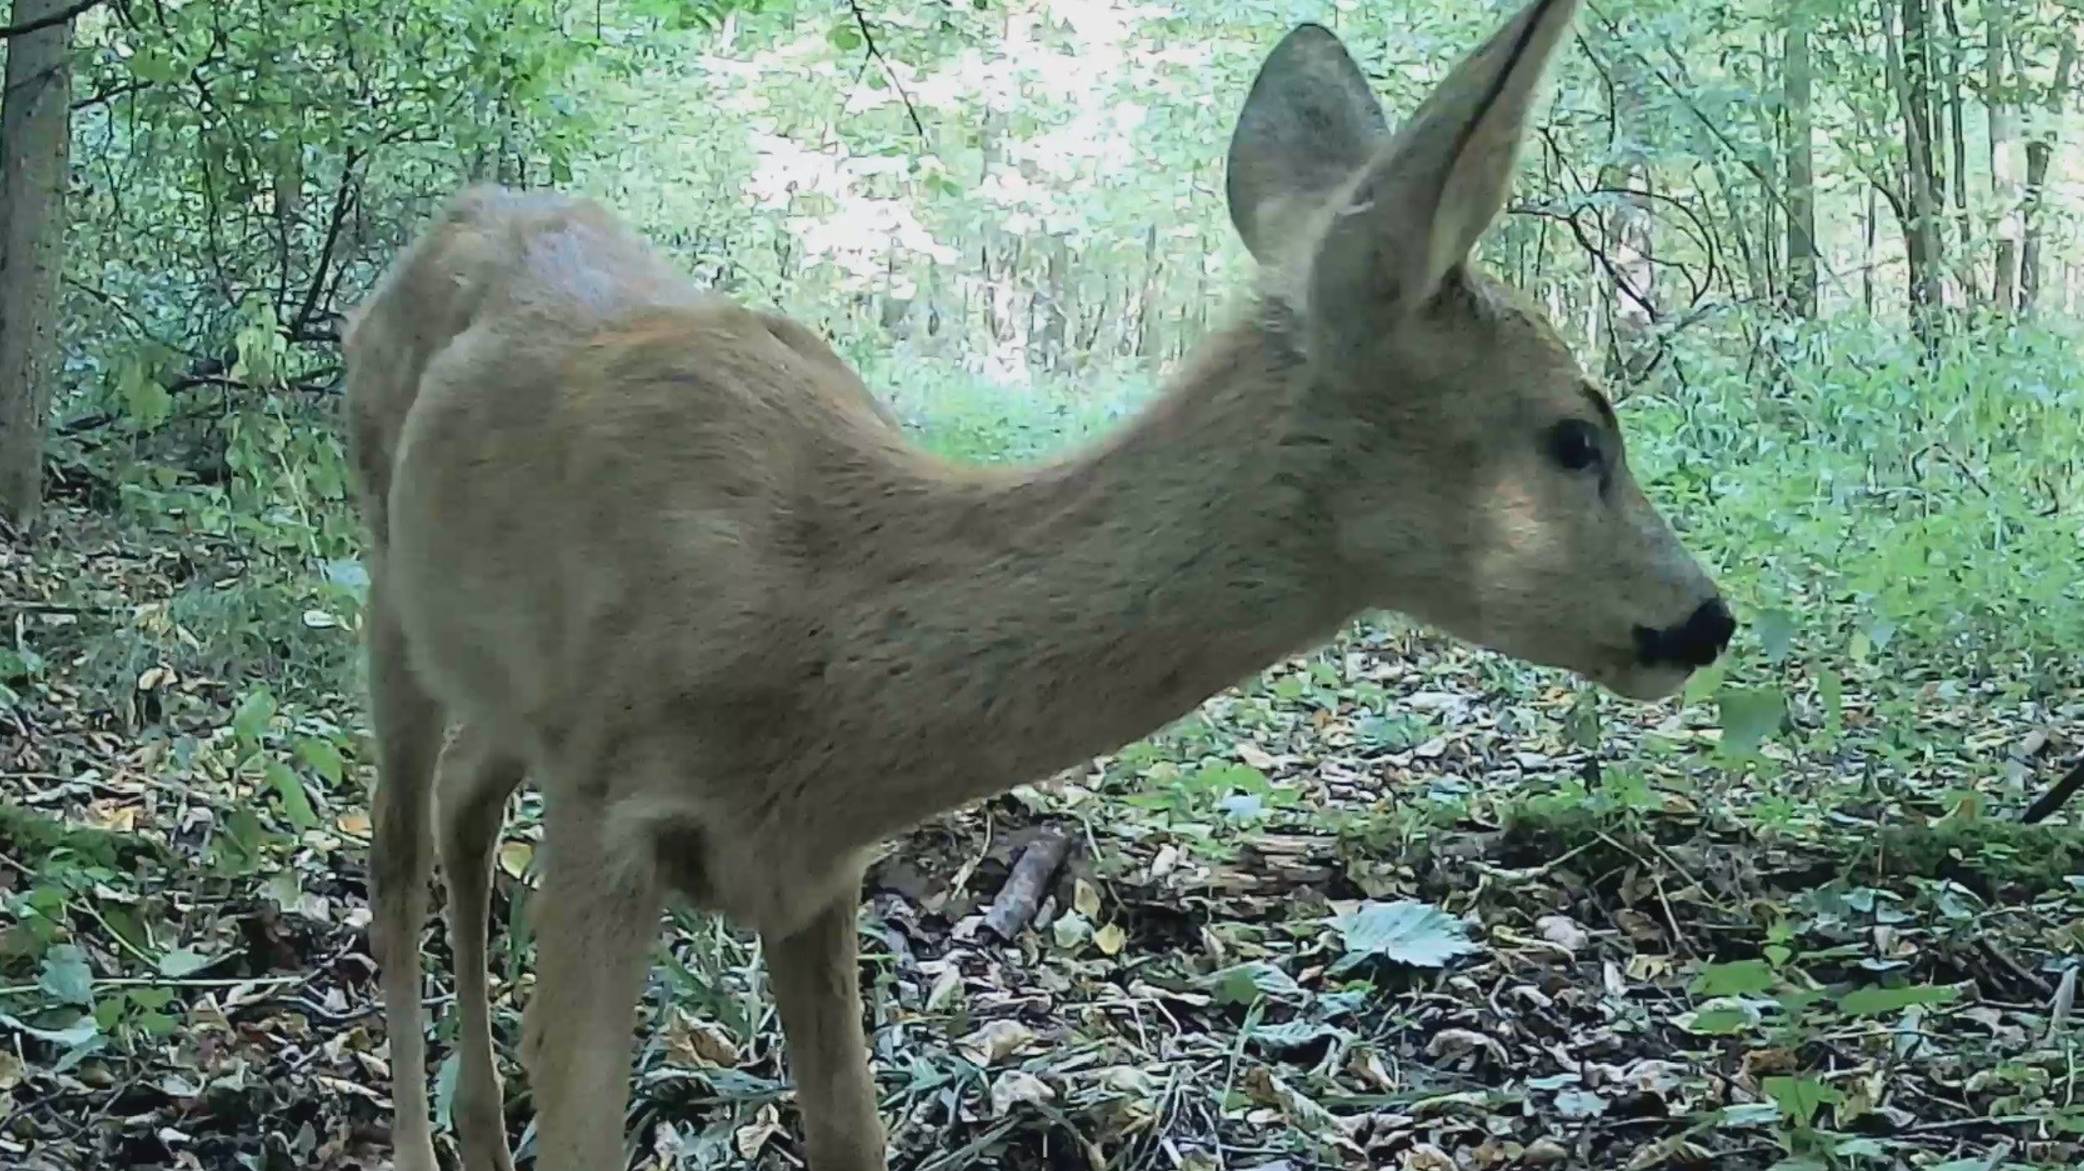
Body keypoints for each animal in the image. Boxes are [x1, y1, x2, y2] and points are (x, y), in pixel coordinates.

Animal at [350, 2, 1733, 1166]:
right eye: (1573, 436)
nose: (1706, 617)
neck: (814, 649)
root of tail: (455, 211)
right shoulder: (607, 806)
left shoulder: (810, 873)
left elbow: (850, 1131)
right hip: (385, 579)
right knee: (396, 850)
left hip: (496, 677)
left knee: (465, 804)